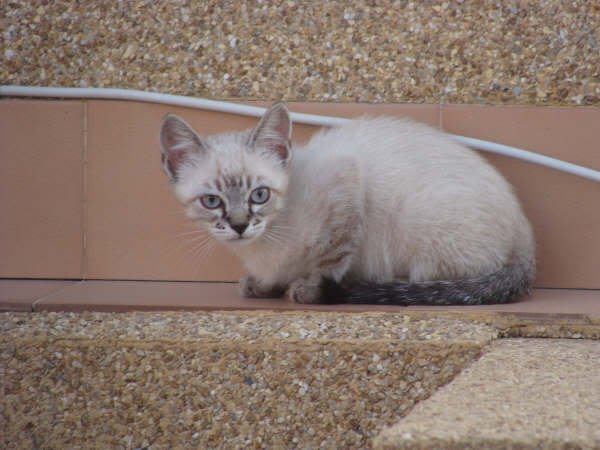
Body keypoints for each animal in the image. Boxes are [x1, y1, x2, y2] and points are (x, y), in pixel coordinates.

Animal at [159, 103, 536, 304]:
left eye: (259, 195)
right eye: (212, 201)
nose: (239, 225)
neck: (262, 245)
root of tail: (525, 232)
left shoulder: (345, 184)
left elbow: (331, 259)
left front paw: (307, 289)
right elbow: (272, 275)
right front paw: (262, 285)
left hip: (427, 233)